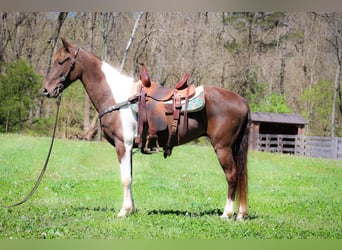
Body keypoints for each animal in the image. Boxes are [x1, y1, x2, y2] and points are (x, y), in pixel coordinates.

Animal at [41, 37, 251, 221]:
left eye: (61, 61)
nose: (45, 90)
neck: (118, 97)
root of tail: (241, 101)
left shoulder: (123, 145)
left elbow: (125, 178)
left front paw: (123, 211)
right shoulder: (129, 148)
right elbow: (130, 177)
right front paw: (131, 209)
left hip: (222, 148)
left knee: (232, 176)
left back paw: (227, 214)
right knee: (240, 175)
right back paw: (241, 214)